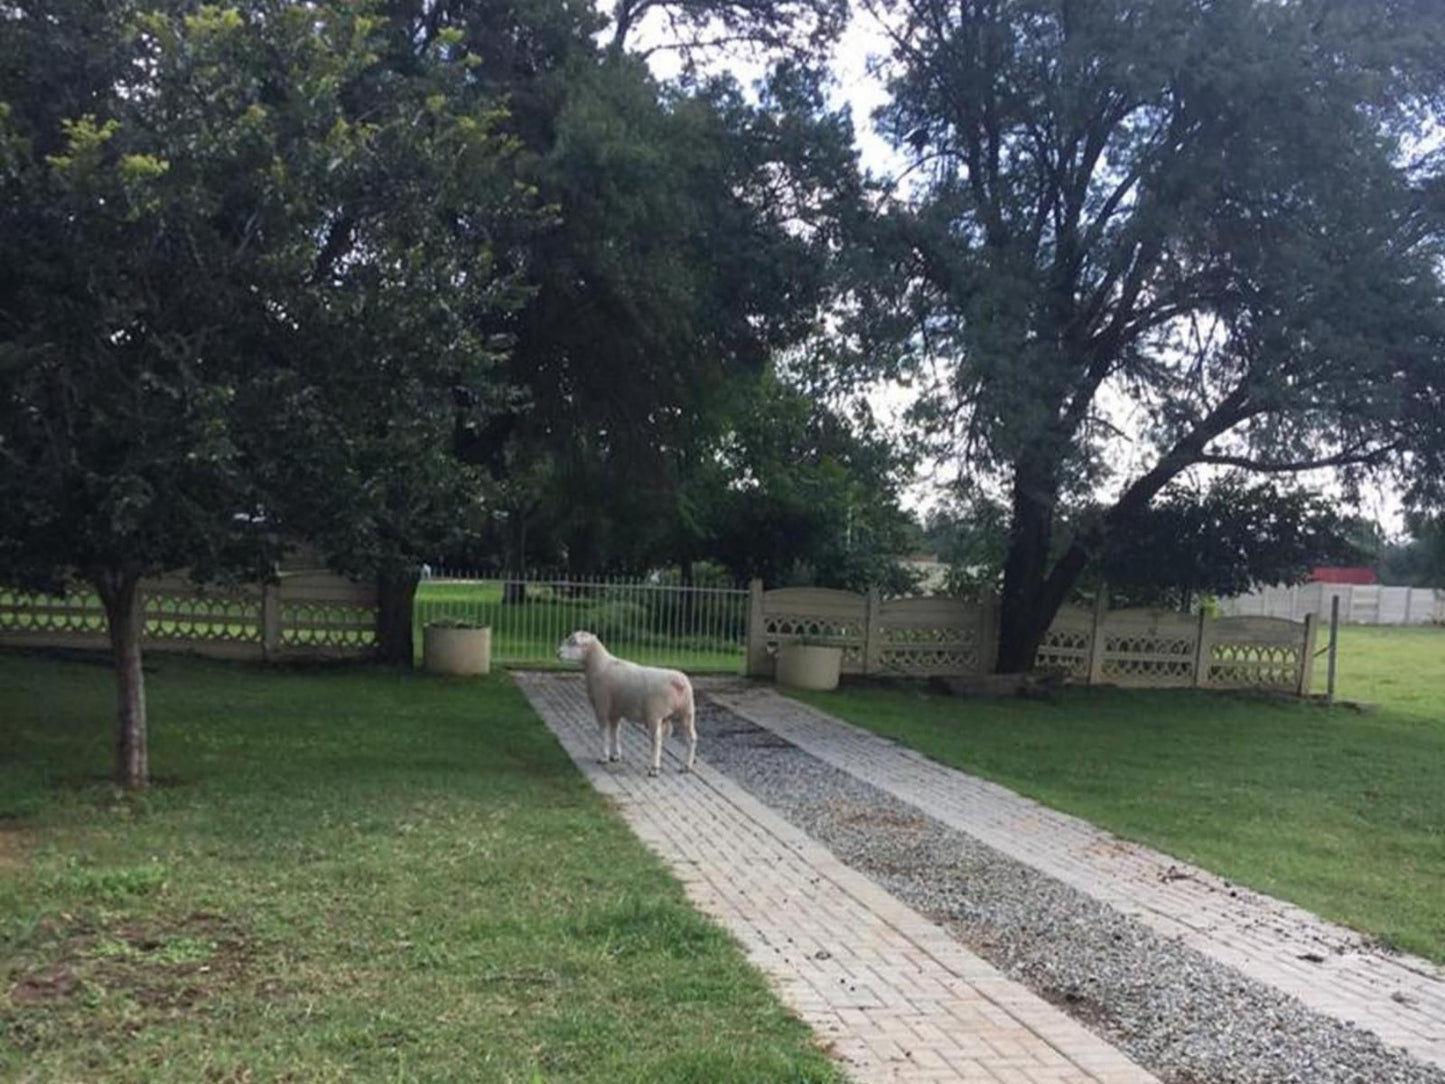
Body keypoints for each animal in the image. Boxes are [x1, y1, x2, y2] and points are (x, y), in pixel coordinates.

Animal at [554, 633, 696, 774]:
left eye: (574, 642)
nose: (558, 653)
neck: (599, 666)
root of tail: (679, 683)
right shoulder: (615, 711)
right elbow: (615, 732)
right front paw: (616, 755)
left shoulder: (602, 707)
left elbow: (604, 732)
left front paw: (604, 757)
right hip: (687, 713)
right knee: (691, 738)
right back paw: (686, 766)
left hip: (655, 714)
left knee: (657, 740)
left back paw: (654, 768)